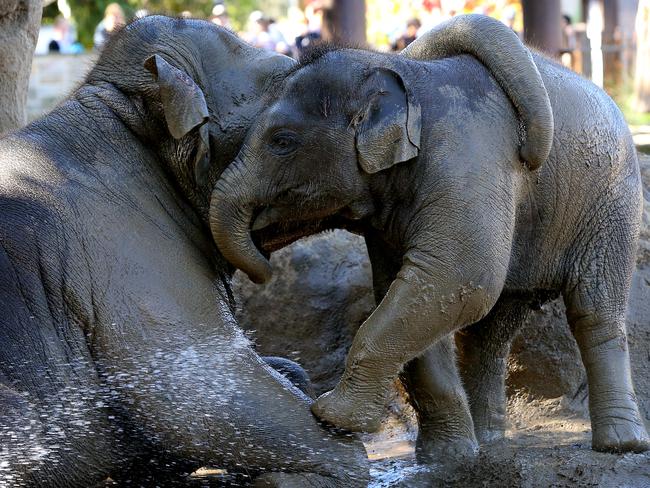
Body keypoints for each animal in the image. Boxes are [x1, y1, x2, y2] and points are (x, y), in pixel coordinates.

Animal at [211, 15, 648, 458]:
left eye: (281, 141)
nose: (263, 270)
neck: (403, 75)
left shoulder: (466, 159)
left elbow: (454, 278)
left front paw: (332, 417)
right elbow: (415, 288)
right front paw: (447, 456)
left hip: (612, 204)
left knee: (594, 311)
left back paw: (620, 444)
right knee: (492, 328)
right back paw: (489, 441)